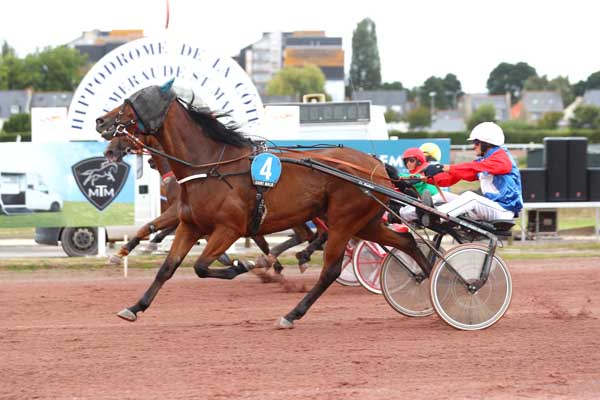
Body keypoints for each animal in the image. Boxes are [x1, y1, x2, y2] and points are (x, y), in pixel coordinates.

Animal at [96, 82, 428, 328]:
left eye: (128, 104)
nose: (101, 121)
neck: (209, 164)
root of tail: (377, 166)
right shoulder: (190, 225)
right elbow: (167, 268)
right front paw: (135, 306)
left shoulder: (228, 228)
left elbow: (201, 266)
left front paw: (243, 265)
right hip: (365, 222)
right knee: (407, 241)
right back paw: (428, 278)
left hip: (344, 221)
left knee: (331, 268)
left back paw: (292, 313)